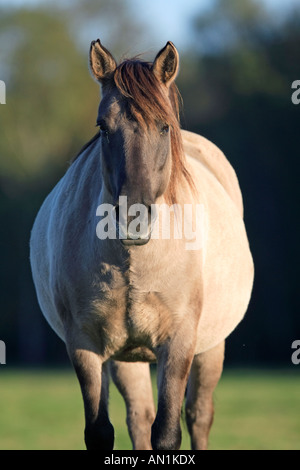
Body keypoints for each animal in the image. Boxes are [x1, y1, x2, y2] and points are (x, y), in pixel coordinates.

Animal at [29, 38, 253, 450]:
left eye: (164, 127)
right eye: (103, 127)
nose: (132, 219)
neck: (133, 261)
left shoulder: (179, 342)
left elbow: (167, 432)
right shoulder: (85, 345)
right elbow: (101, 431)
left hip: (211, 348)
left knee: (198, 416)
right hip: (124, 357)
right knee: (140, 416)